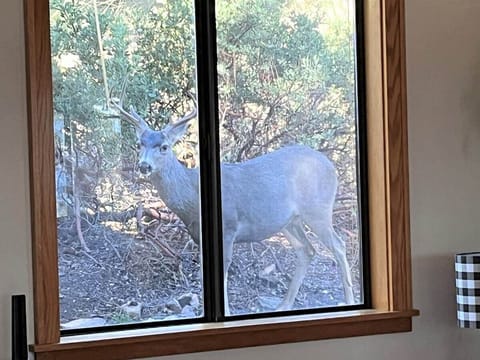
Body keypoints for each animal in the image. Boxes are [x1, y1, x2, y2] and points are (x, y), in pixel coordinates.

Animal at [110, 94, 354, 314]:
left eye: (164, 147)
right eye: (139, 144)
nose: (144, 166)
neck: (192, 199)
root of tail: (331, 166)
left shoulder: (228, 227)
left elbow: (224, 270)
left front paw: (225, 311)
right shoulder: (198, 235)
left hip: (318, 208)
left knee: (339, 244)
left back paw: (349, 299)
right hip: (289, 221)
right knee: (307, 250)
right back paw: (284, 304)